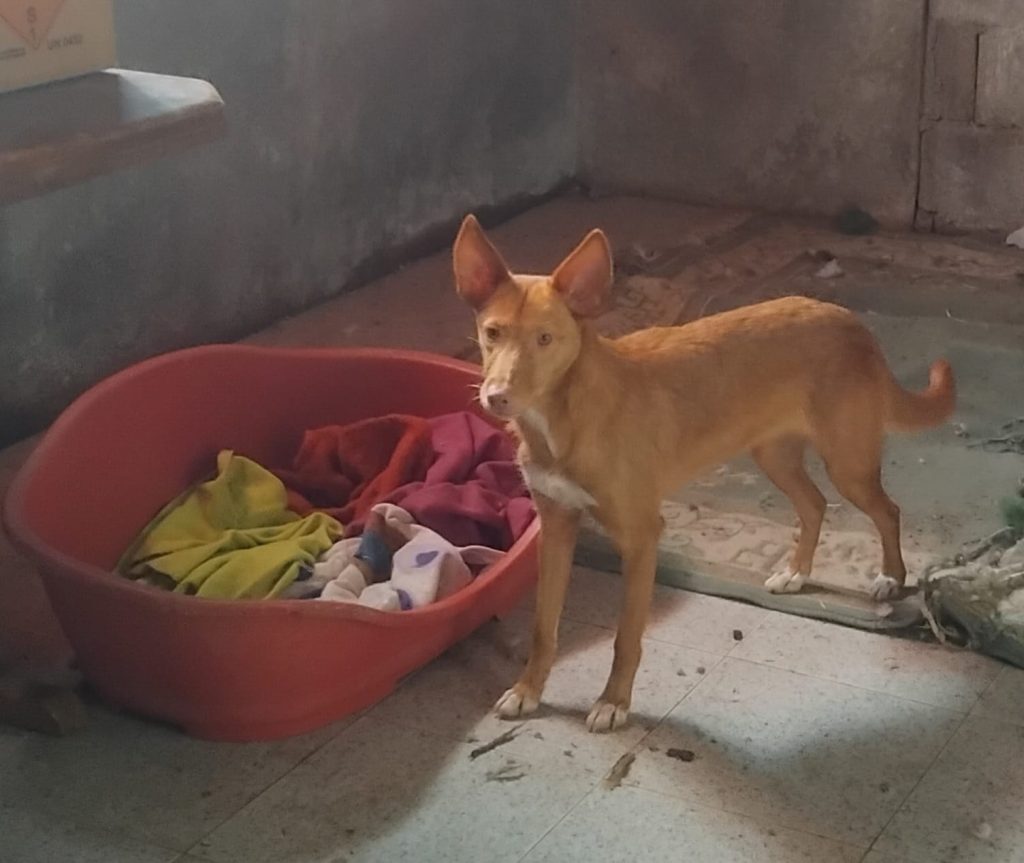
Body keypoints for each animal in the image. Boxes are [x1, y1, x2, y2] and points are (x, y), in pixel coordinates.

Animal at [452, 214, 955, 733]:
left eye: (545, 339)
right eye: (492, 332)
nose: (497, 397)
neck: (564, 417)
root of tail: (851, 321)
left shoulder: (641, 537)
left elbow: (625, 636)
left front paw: (613, 702)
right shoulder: (555, 527)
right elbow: (542, 626)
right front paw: (527, 691)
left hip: (848, 462)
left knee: (888, 510)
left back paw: (890, 577)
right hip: (773, 454)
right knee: (815, 505)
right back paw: (796, 573)